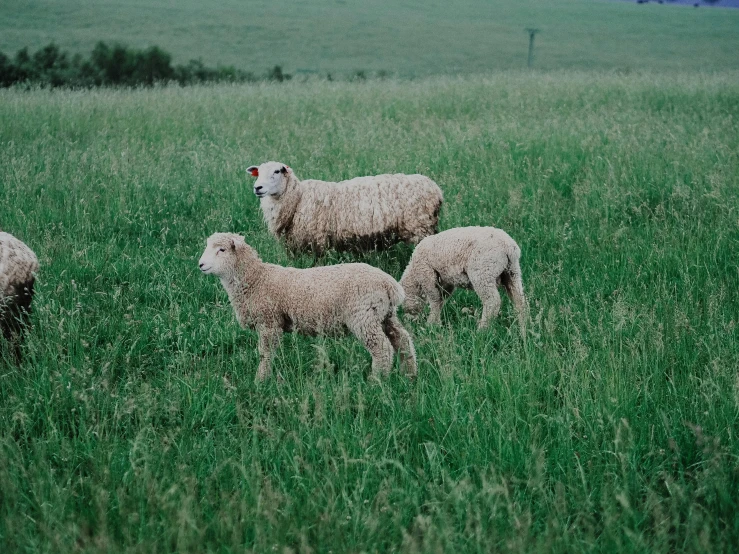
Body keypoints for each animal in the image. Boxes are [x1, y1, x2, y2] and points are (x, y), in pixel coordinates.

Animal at [198, 230, 416, 380]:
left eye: (221, 250)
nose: (200, 264)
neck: (256, 279)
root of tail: (389, 284)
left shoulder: (269, 322)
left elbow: (265, 354)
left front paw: (260, 380)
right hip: (385, 315)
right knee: (403, 340)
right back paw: (410, 374)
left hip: (364, 317)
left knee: (382, 348)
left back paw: (376, 380)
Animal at [247, 161, 446, 253]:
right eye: (258, 173)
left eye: (277, 171)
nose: (257, 188)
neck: (298, 198)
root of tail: (435, 189)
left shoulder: (318, 242)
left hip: (420, 229)